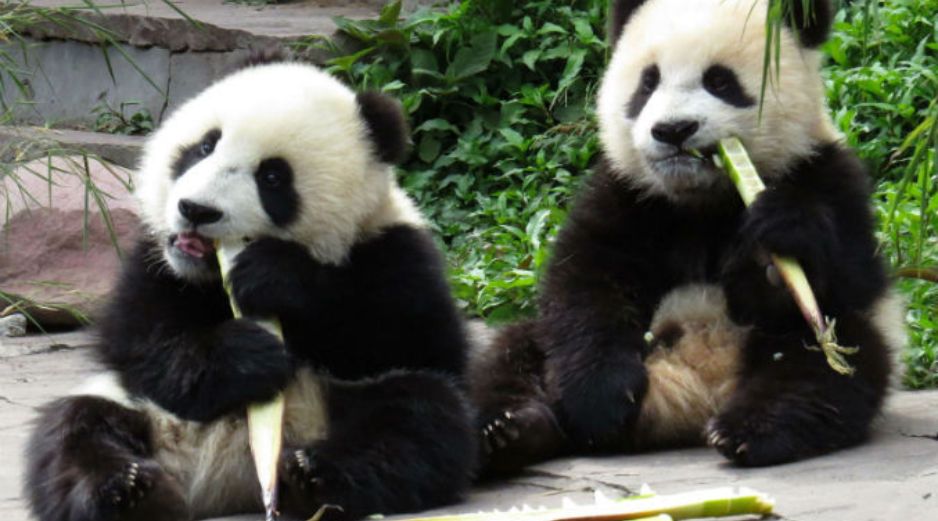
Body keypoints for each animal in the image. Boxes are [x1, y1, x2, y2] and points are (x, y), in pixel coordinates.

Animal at [25, 61, 476, 521]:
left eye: (272, 177)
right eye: (205, 146)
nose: (196, 210)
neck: (210, 274)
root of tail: (227, 482)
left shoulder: (395, 249)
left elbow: (415, 340)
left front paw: (274, 276)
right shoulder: (154, 261)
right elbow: (138, 337)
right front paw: (249, 355)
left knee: (418, 418)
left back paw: (312, 476)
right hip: (140, 406)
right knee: (75, 429)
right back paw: (127, 488)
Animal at [469, 0, 906, 474]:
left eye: (719, 81)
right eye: (648, 83)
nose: (673, 130)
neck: (703, 197)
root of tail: (688, 395)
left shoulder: (825, 172)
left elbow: (853, 277)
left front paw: (775, 246)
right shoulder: (626, 193)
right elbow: (587, 283)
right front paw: (599, 401)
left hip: (824, 345)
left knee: (825, 366)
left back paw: (747, 431)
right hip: (547, 347)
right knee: (513, 354)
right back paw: (511, 431)